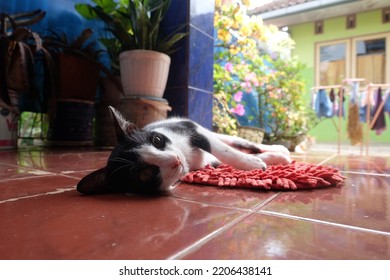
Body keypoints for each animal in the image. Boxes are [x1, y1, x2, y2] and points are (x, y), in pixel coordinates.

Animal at [77, 106, 290, 195]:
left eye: (156, 140)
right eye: (145, 174)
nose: (176, 159)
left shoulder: (190, 128)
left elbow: (223, 151)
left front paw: (251, 164)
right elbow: (221, 157)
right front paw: (258, 162)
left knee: (240, 143)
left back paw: (279, 150)